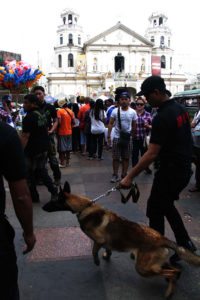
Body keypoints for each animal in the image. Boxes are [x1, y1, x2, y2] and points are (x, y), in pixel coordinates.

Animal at [43, 182, 200, 298]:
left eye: (52, 200)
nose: (43, 207)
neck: (84, 207)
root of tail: (161, 238)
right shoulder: (106, 242)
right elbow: (108, 248)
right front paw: (107, 255)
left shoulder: (99, 240)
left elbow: (94, 251)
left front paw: (97, 261)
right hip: (153, 264)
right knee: (175, 270)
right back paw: (173, 281)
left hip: (143, 268)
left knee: (171, 272)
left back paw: (169, 291)